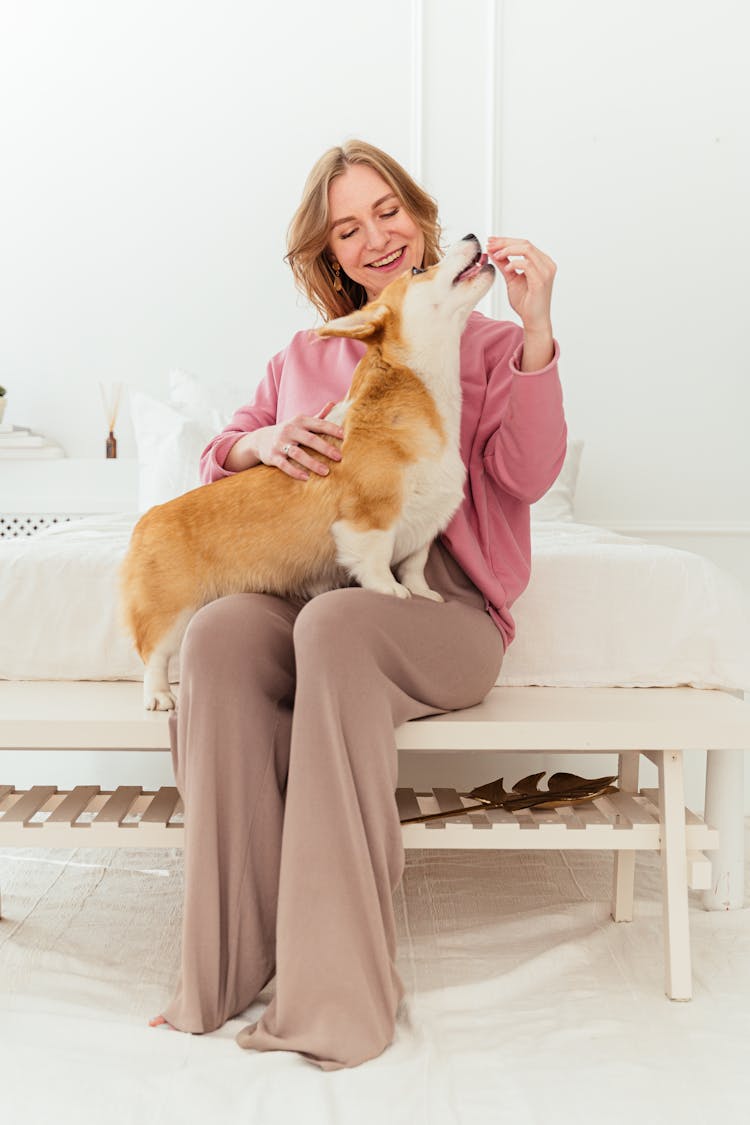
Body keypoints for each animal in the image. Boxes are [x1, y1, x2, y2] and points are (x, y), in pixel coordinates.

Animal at [120, 231, 494, 706]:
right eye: (418, 269)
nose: (471, 235)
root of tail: (146, 521)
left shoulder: (424, 528)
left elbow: (414, 562)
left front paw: (423, 593)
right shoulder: (368, 519)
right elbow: (376, 560)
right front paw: (391, 591)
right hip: (172, 609)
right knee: (154, 654)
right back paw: (158, 696)